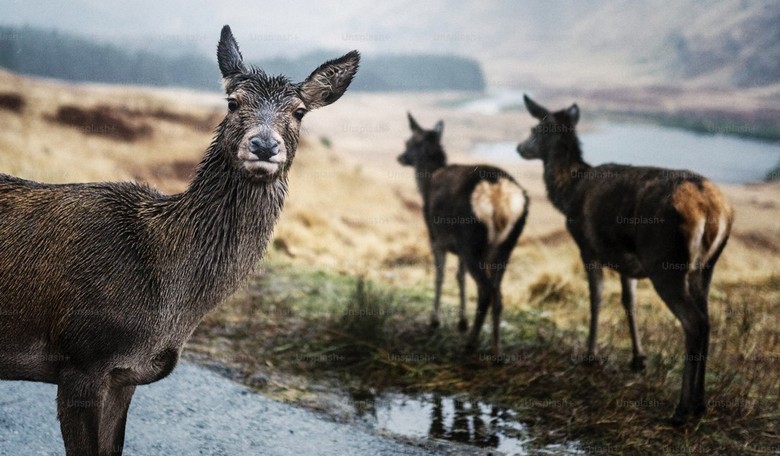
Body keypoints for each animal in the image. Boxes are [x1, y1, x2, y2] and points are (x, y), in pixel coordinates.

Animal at [398, 113, 528, 356]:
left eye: (409, 142)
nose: (400, 157)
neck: (427, 182)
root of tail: (499, 194)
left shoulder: (436, 238)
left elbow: (440, 275)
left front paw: (435, 320)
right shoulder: (457, 245)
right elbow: (460, 277)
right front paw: (462, 321)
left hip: (472, 241)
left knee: (486, 291)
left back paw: (470, 344)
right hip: (505, 246)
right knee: (498, 294)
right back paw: (496, 349)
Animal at [516, 94, 733, 425]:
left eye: (534, 128)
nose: (519, 147)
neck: (568, 192)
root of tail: (712, 210)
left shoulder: (588, 247)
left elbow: (596, 298)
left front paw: (590, 355)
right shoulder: (626, 261)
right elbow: (629, 301)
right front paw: (638, 359)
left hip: (666, 263)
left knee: (694, 323)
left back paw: (681, 410)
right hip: (705, 267)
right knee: (707, 321)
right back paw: (700, 404)